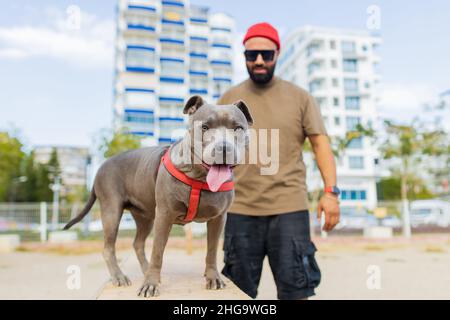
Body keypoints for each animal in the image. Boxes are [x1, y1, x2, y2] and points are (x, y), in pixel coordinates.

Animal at [63, 95, 253, 298]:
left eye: (238, 128)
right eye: (204, 127)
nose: (224, 148)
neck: (200, 178)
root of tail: (101, 167)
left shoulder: (218, 218)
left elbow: (211, 251)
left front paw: (213, 277)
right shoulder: (164, 216)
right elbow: (157, 252)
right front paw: (150, 284)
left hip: (145, 218)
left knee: (138, 243)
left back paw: (144, 270)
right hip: (111, 212)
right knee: (108, 248)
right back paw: (120, 276)